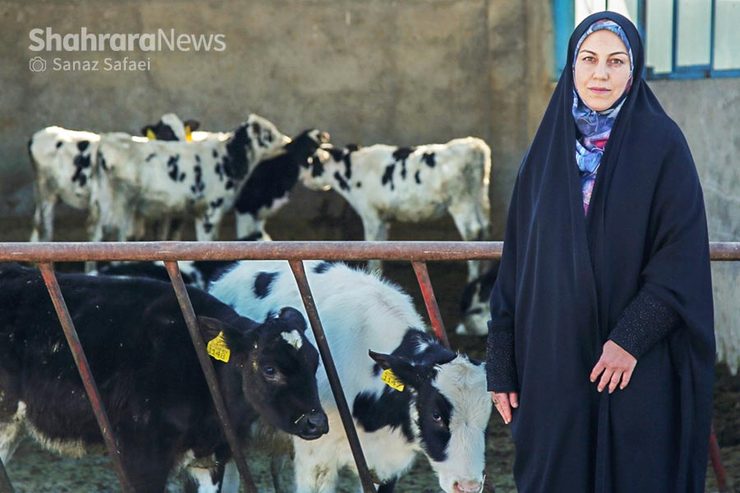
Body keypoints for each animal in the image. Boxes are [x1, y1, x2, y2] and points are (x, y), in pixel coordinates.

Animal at [91, 113, 288, 240]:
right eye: (268, 133)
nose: (287, 141)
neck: (227, 158)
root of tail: (106, 141)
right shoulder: (208, 212)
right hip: (112, 204)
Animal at [300, 136, 492, 278]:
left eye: (313, 161)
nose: (302, 179)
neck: (352, 170)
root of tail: (473, 145)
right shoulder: (383, 217)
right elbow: (381, 245)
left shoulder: (370, 213)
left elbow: (371, 244)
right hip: (480, 197)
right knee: (485, 230)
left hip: (461, 201)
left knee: (473, 232)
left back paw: (472, 279)